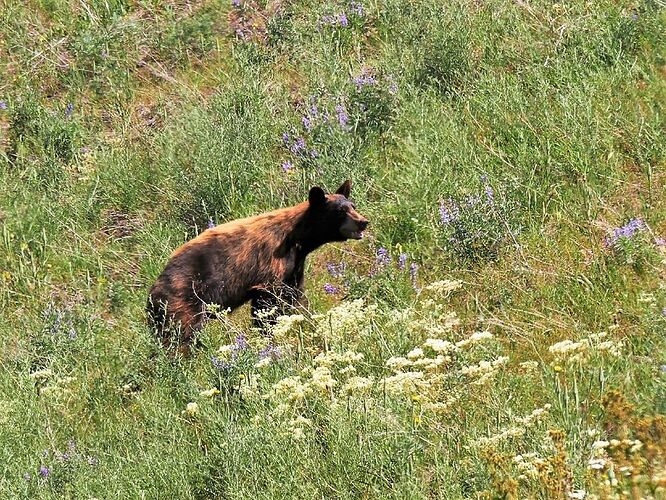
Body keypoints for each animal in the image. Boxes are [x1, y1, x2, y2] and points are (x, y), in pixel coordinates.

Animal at [145, 181, 368, 352]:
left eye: (353, 205)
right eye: (340, 211)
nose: (363, 221)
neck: (298, 239)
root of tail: (153, 293)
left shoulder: (293, 268)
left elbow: (293, 296)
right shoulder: (271, 266)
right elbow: (267, 305)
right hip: (184, 303)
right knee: (180, 337)